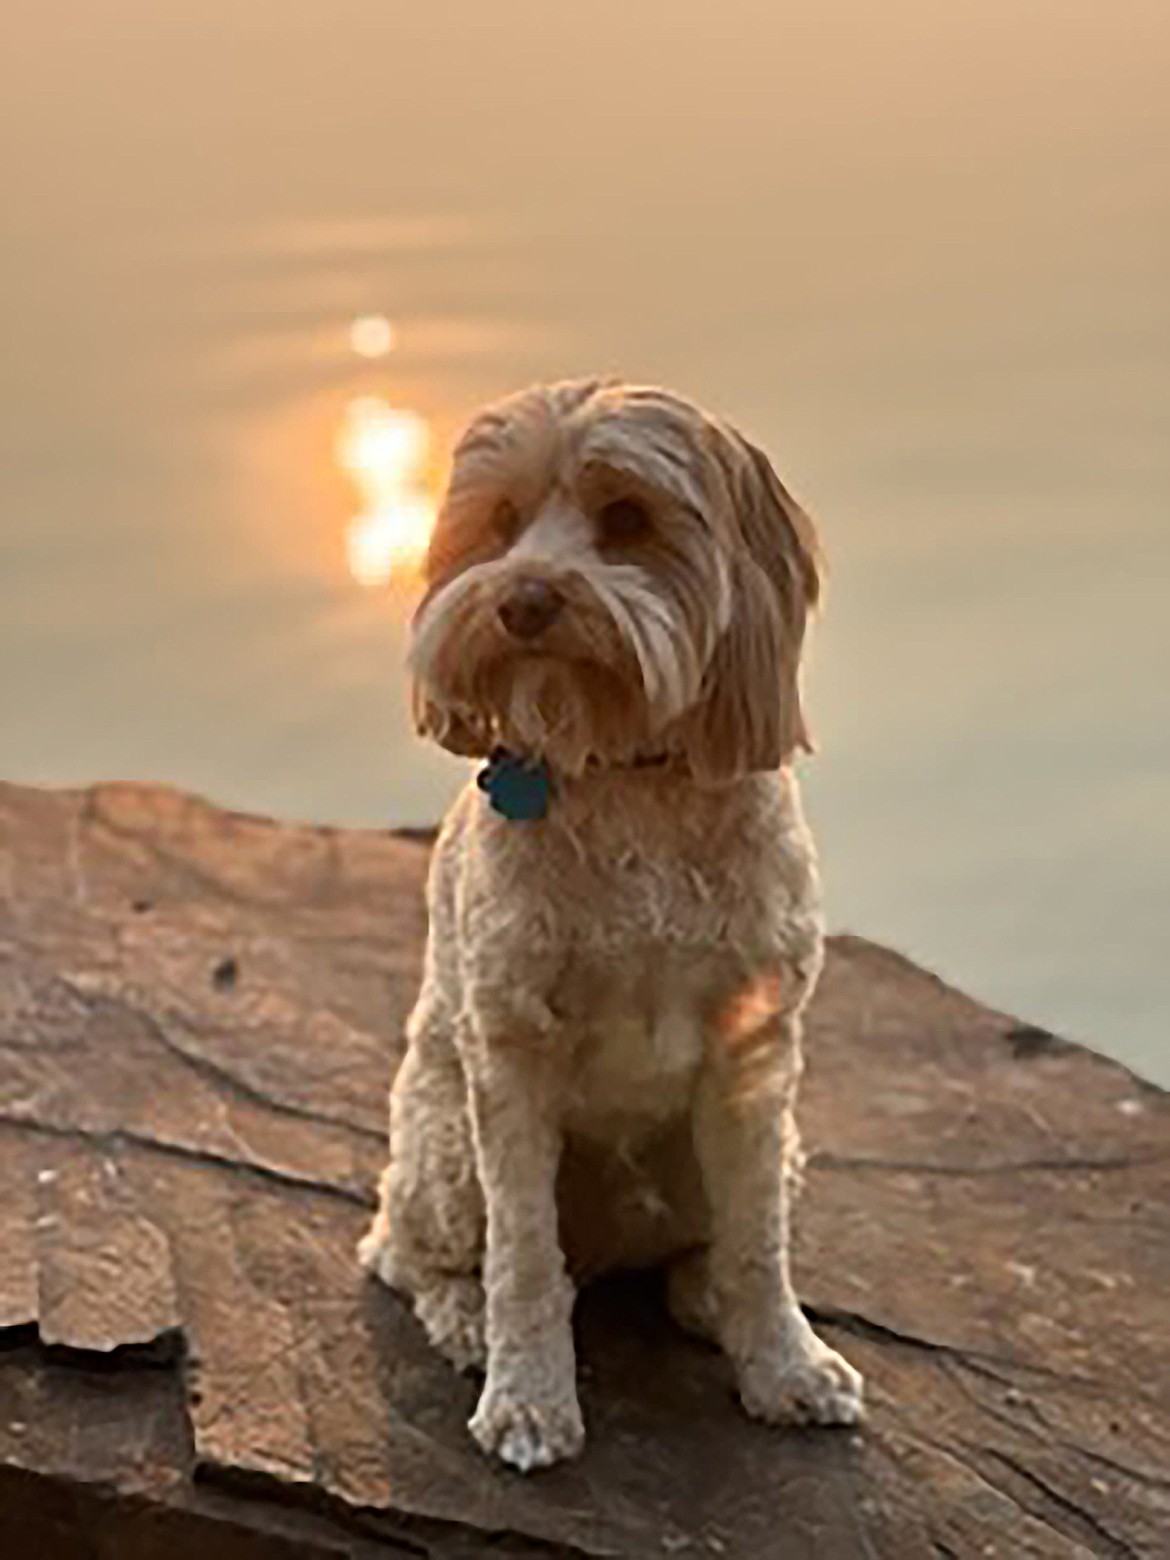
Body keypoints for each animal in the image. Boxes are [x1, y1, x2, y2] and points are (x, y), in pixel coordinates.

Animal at [361, 380, 867, 1472]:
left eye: (628, 518)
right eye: (500, 521)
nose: (523, 599)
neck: (625, 769)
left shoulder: (756, 1050)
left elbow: (760, 1245)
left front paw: (786, 1366)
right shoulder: (511, 1047)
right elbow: (522, 1256)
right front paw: (527, 1401)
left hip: (768, 1147)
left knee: (705, 1246)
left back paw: (705, 1297)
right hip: (442, 1147)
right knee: (405, 1253)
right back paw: (464, 1319)